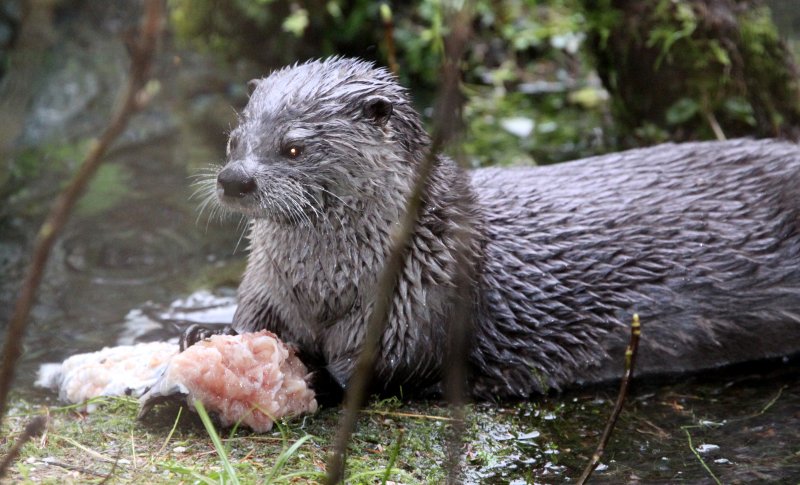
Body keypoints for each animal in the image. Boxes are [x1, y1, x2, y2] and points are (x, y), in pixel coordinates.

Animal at [183, 56, 800, 398]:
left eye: (294, 147)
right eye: (235, 141)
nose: (235, 179)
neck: (323, 288)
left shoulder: (421, 303)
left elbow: (375, 368)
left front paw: (309, 370)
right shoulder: (265, 289)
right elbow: (254, 321)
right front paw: (203, 335)